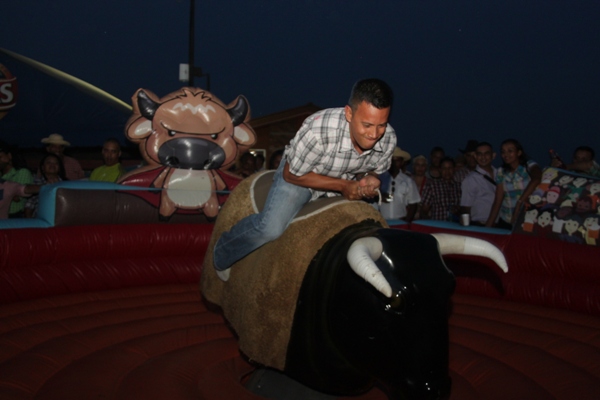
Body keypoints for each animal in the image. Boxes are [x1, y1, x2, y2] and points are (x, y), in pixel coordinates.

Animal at [119, 87, 256, 219]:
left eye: (214, 135)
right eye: (171, 132)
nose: (195, 155)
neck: (190, 171)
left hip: (211, 203)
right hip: (167, 203)